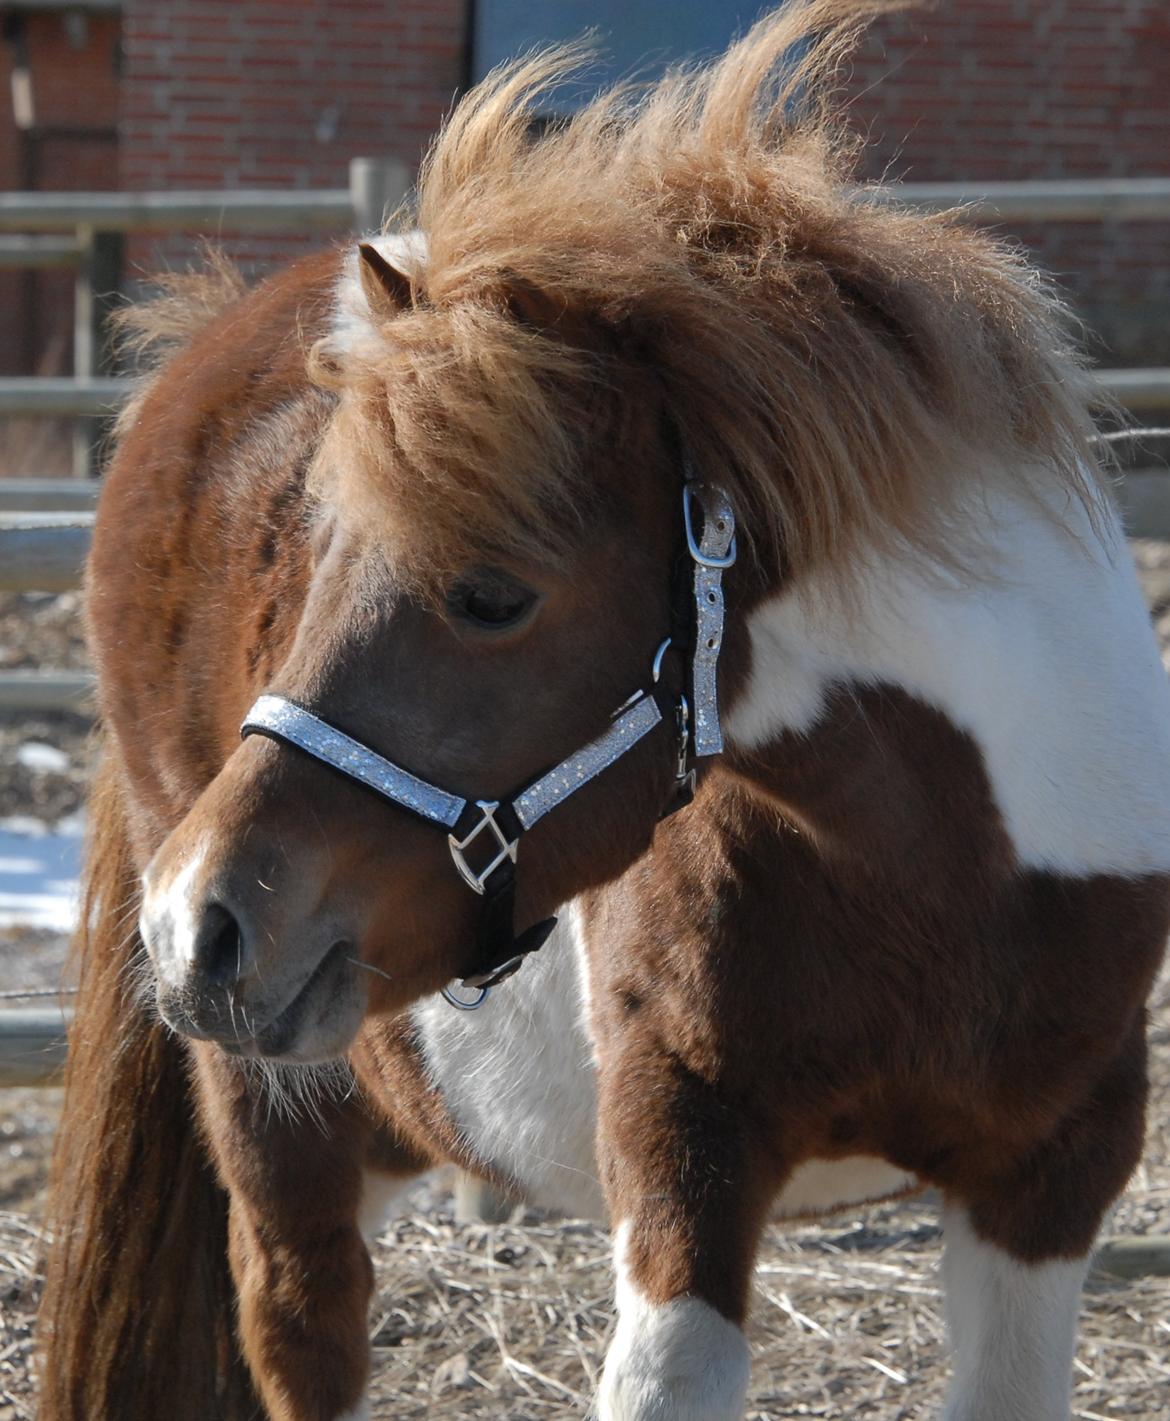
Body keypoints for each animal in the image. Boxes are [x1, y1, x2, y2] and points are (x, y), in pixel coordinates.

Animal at [36, 5, 1170, 1415]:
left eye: (493, 594)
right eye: (320, 551)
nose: (199, 928)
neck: (944, 864)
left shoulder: (1053, 1177)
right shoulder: (684, 1156)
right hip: (275, 1113)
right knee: (304, 1322)